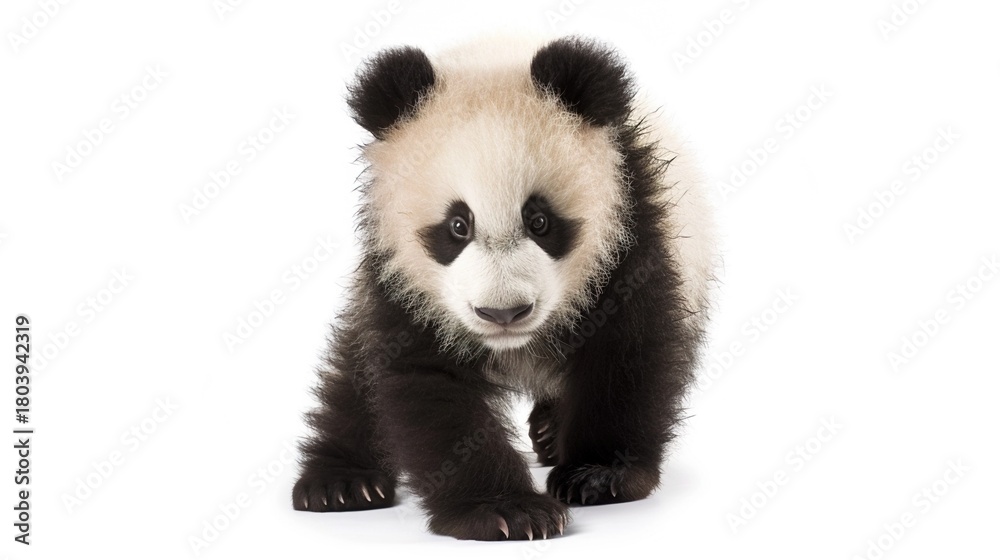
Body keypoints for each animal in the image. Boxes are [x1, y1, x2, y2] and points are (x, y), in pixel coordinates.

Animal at [293, 35, 715, 541]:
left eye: (540, 220)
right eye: (457, 225)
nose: (504, 313)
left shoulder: (629, 230)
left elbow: (625, 348)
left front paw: (599, 474)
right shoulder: (402, 279)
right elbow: (429, 383)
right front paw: (506, 511)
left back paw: (551, 435)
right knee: (353, 373)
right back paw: (340, 483)